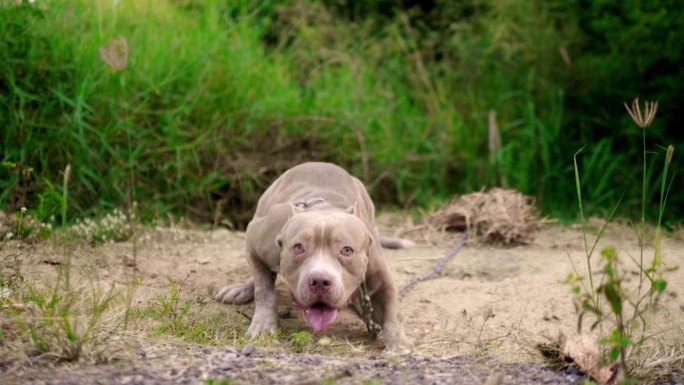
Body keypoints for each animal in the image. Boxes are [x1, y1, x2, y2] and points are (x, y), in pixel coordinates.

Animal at [216, 160, 412, 350]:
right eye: (298, 247)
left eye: (347, 250)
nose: (319, 281)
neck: (326, 208)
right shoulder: (255, 241)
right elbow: (264, 289)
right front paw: (264, 324)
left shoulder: (380, 276)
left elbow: (392, 310)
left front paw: (399, 344)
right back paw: (241, 290)